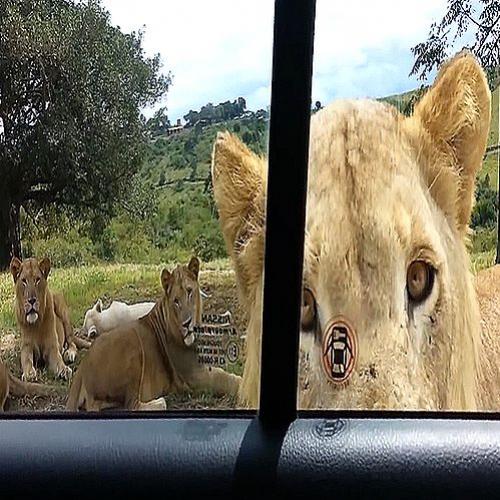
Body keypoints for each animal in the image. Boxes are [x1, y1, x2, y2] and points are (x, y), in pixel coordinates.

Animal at [66, 256, 242, 412]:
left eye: (190, 292)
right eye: (175, 300)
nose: (187, 323)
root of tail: (81, 371)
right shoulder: (194, 376)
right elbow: (228, 380)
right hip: (133, 349)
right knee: (131, 405)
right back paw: (160, 401)